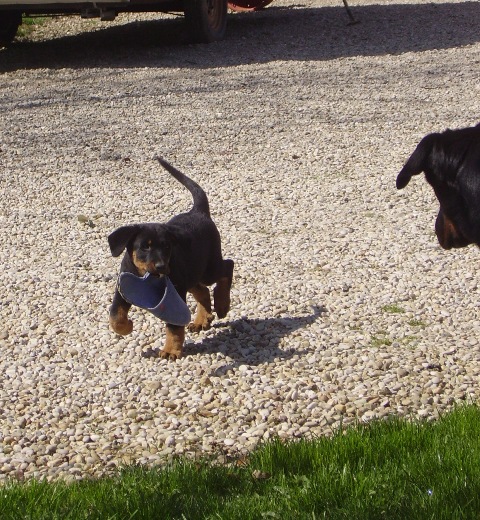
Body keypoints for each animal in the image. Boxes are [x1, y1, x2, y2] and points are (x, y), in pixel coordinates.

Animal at [108, 157, 234, 360]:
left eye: (167, 247)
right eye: (145, 247)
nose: (161, 267)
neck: (143, 275)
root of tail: (198, 211)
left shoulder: (176, 292)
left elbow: (174, 327)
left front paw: (170, 350)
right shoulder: (122, 290)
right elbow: (115, 316)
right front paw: (126, 327)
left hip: (207, 268)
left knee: (227, 267)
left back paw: (222, 305)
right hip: (190, 273)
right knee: (202, 290)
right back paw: (202, 320)